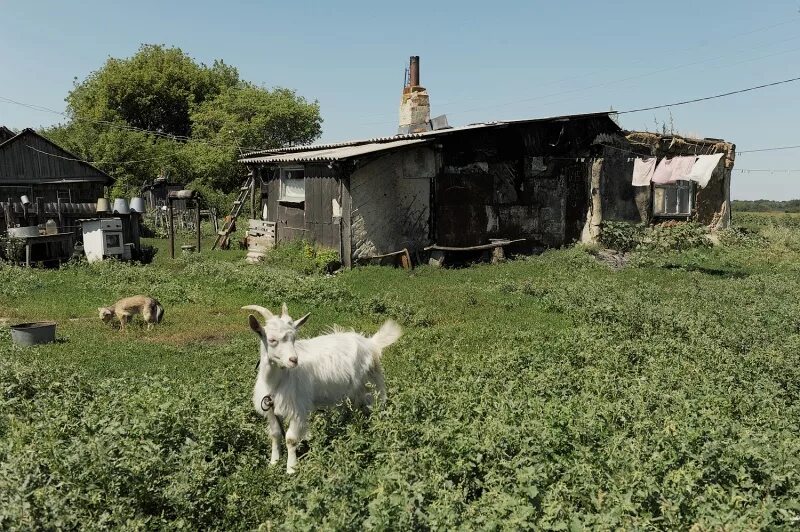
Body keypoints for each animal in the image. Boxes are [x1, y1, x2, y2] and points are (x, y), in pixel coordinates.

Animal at [239, 304, 398, 474]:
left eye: (294, 338)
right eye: (272, 340)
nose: (293, 360)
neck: (276, 381)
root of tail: (370, 343)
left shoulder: (297, 408)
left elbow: (290, 439)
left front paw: (291, 468)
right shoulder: (270, 407)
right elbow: (275, 434)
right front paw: (273, 462)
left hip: (370, 385)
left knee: (374, 407)